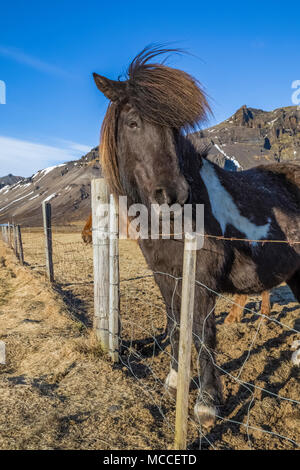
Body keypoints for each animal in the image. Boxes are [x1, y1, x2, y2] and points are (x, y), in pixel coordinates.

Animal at [92, 46, 300, 426]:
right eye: (133, 123)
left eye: (175, 128)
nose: (172, 194)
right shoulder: (164, 274)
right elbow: (175, 324)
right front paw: (175, 380)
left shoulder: (201, 277)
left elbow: (203, 334)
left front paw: (207, 402)